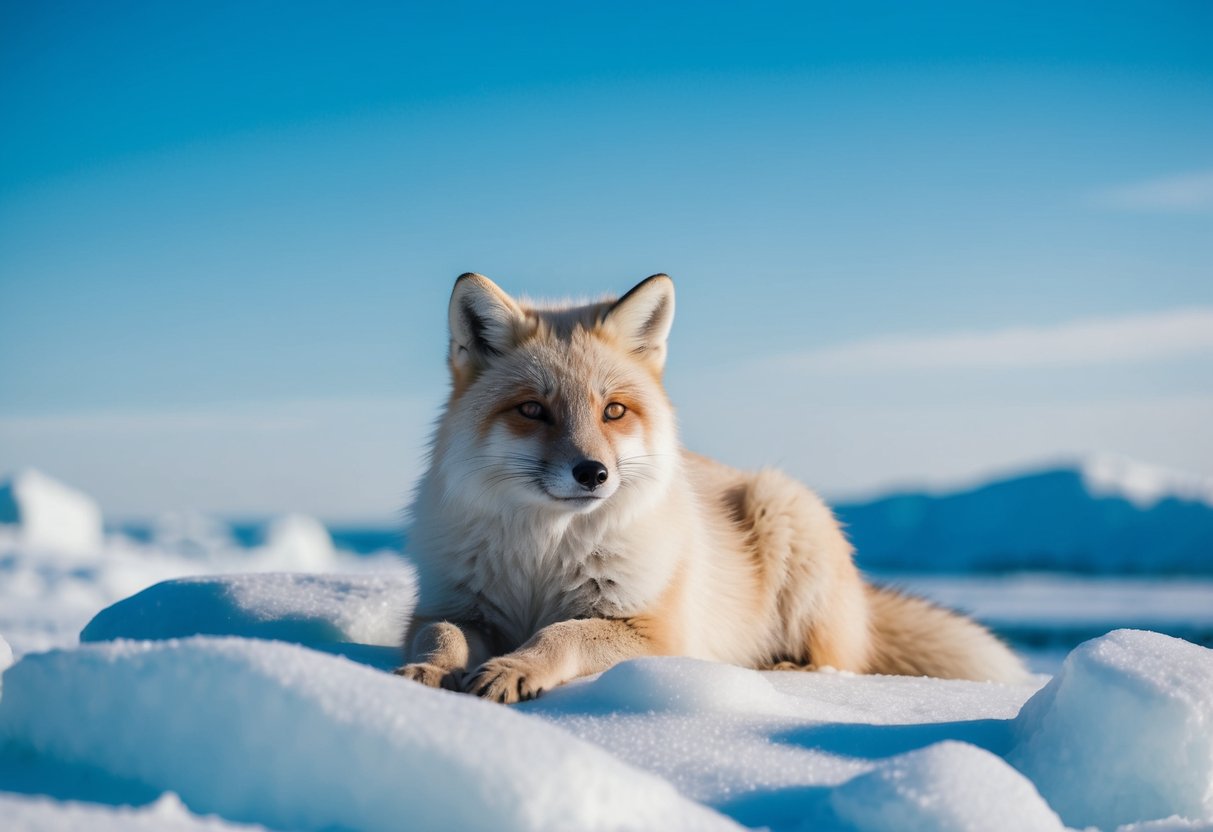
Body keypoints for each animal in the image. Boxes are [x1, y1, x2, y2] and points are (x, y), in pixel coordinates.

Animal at [395, 273, 1029, 703]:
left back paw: (778, 669)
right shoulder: (449, 605)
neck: (541, 559)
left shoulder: (654, 629)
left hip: (786, 515)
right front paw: (430, 674)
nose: (593, 473)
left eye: (613, 410)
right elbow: (441, 636)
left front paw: (515, 668)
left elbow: (562, 635)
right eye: (532, 410)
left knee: (837, 663)